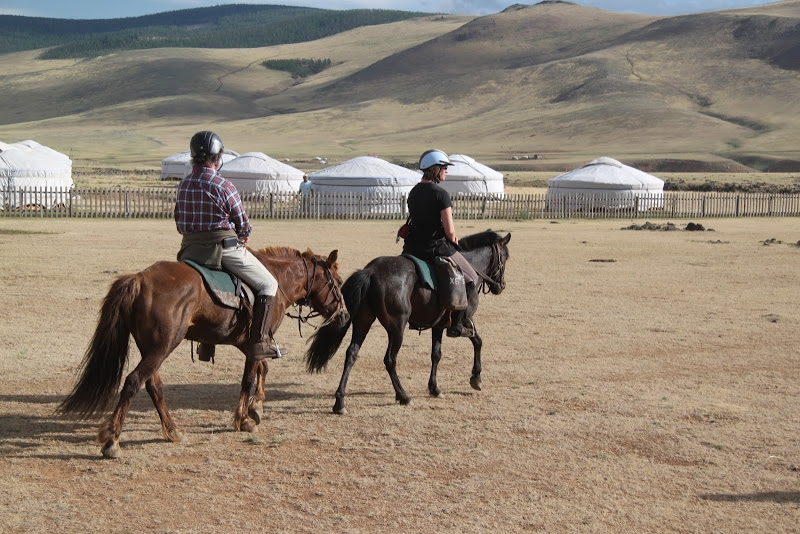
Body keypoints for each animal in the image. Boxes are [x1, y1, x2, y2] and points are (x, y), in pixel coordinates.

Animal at [56, 247, 344, 460]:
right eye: (338, 283)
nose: (344, 314)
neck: (277, 279)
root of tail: (139, 278)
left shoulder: (247, 343)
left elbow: (263, 369)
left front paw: (257, 406)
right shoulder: (255, 343)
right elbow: (249, 378)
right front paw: (244, 418)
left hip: (152, 349)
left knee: (153, 386)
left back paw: (172, 431)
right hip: (163, 347)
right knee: (132, 382)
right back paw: (113, 441)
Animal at [304, 230, 510, 414]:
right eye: (506, 258)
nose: (501, 286)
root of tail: (371, 271)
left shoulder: (438, 325)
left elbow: (436, 354)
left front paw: (435, 388)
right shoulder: (465, 318)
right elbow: (477, 340)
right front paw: (476, 377)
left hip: (363, 321)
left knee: (351, 354)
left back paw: (340, 402)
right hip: (397, 328)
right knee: (389, 360)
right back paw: (403, 396)